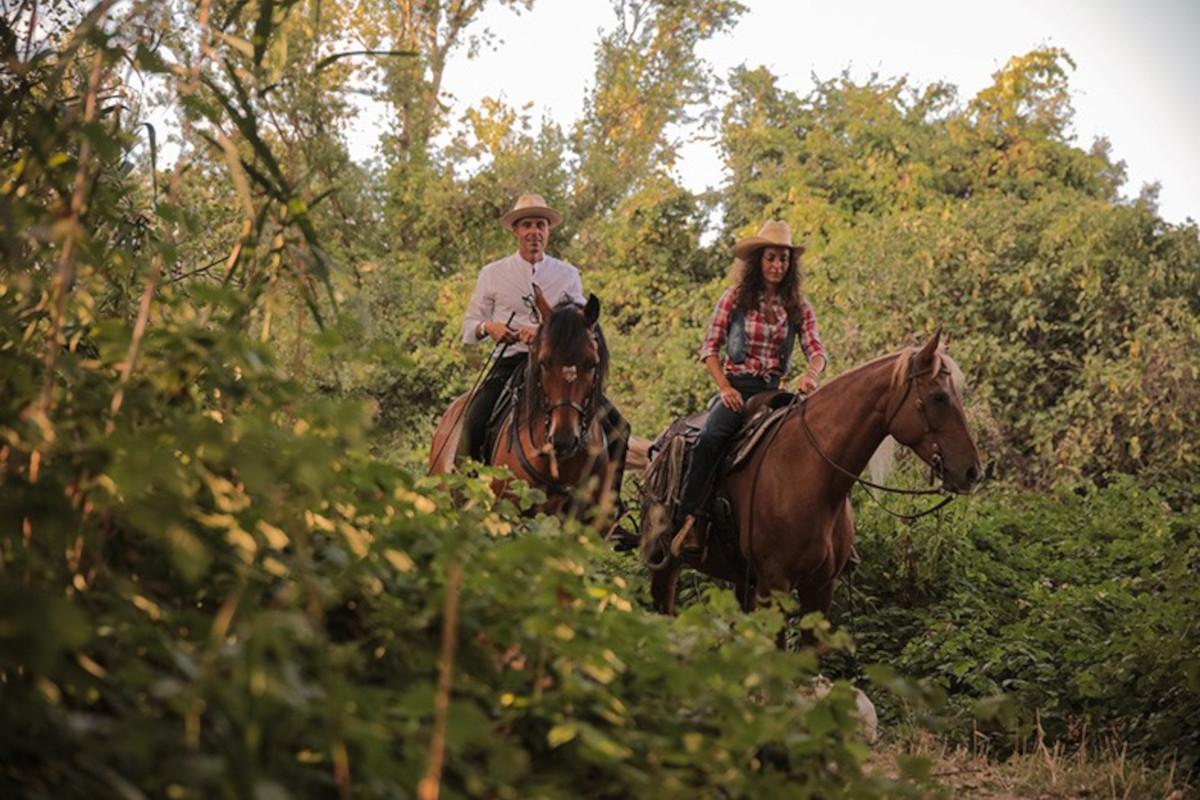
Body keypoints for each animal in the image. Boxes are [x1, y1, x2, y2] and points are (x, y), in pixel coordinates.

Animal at [643, 335, 979, 623]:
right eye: (938, 396)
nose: (973, 472)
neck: (809, 473)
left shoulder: (819, 589)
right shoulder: (774, 587)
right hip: (664, 564)